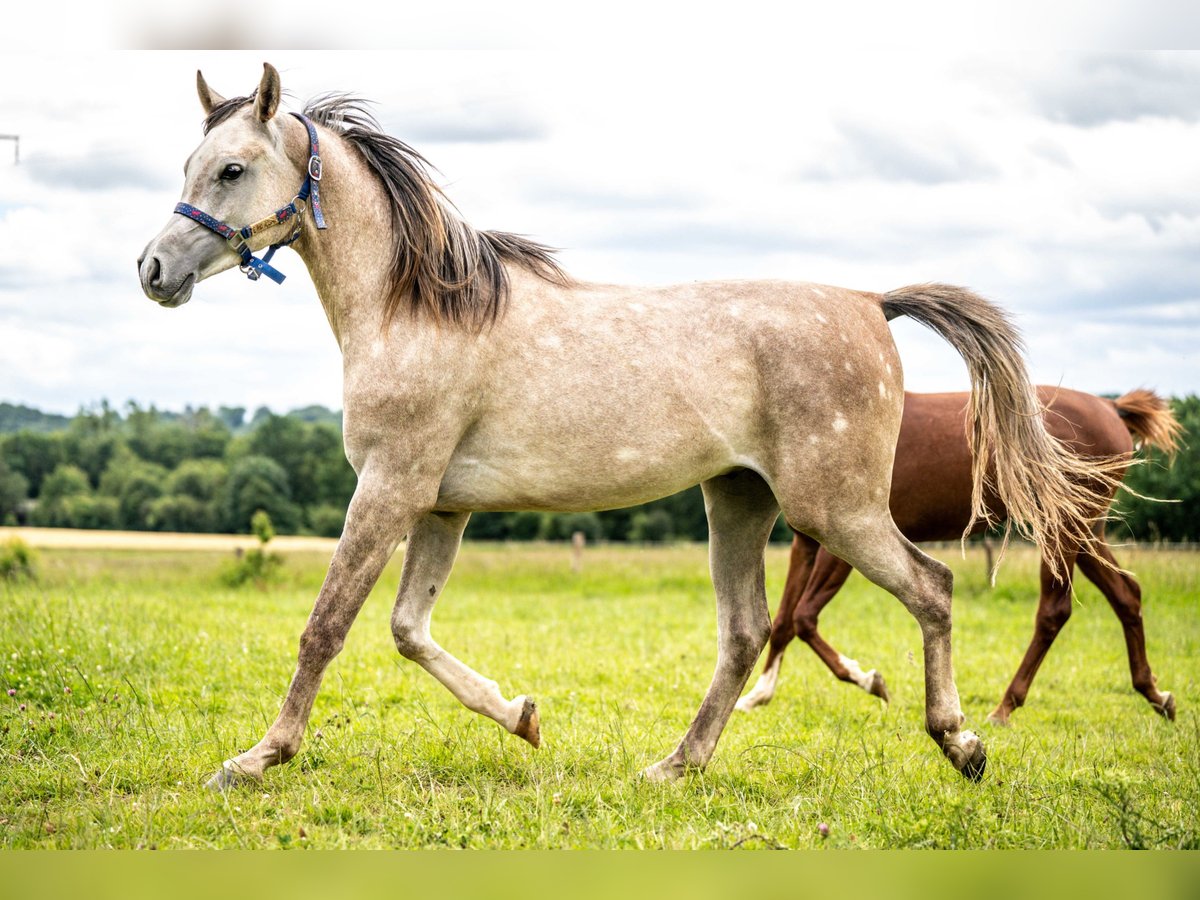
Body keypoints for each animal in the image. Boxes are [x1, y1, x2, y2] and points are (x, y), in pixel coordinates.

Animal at [140, 66, 1123, 792]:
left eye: (231, 170)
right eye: (192, 163)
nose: (153, 270)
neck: (413, 309)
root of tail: (870, 302)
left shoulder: (389, 489)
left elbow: (328, 625)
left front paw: (255, 758)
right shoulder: (440, 506)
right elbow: (408, 631)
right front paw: (523, 717)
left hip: (833, 510)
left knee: (931, 588)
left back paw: (963, 742)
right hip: (740, 503)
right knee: (746, 633)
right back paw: (673, 767)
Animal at [739, 388, 1180, 724]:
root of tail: (1110, 407)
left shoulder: (843, 546)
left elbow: (803, 617)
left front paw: (870, 681)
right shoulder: (806, 544)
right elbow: (783, 621)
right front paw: (757, 695)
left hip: (1063, 530)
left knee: (1055, 611)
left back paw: (1004, 707)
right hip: (1086, 531)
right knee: (1126, 594)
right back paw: (1157, 695)